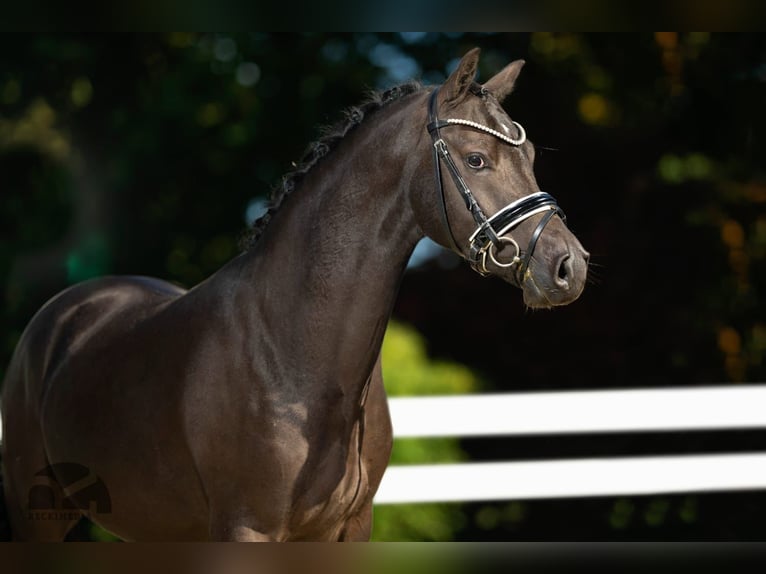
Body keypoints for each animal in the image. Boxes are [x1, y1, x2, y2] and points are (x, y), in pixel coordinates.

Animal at [0, 47, 592, 544]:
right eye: (475, 160)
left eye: (531, 154)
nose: (569, 267)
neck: (296, 354)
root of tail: (66, 311)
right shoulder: (247, 530)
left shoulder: (348, 530)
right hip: (38, 521)